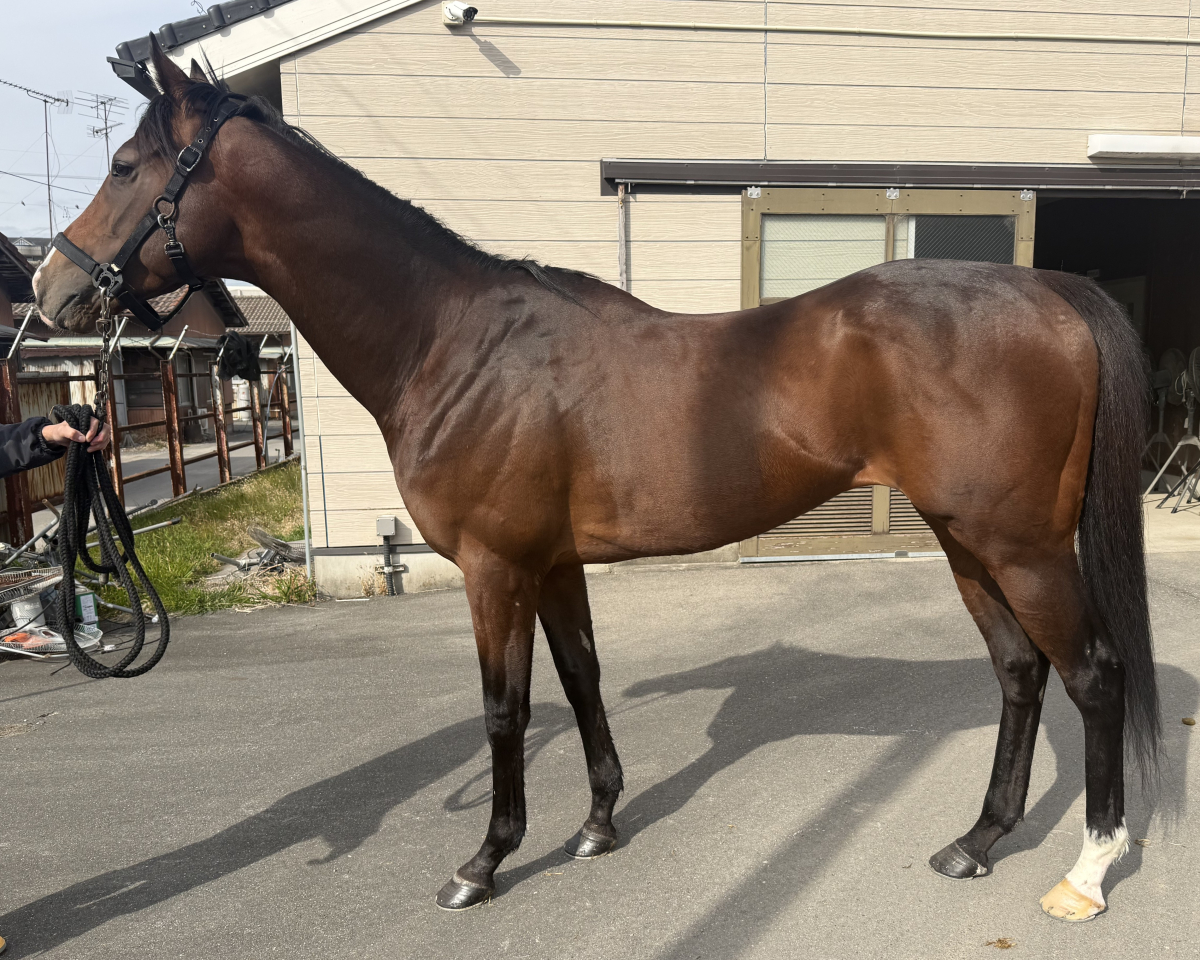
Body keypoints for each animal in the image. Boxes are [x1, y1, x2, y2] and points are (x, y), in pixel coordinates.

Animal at [34, 43, 1160, 921]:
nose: (51, 291)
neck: (450, 340)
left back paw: (1089, 870)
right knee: (1019, 673)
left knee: (1093, 675)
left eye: (127, 165)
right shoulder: (553, 563)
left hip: (1021, 546)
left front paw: (485, 861)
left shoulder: (495, 567)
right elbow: (580, 681)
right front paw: (599, 824)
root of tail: (1051, 294)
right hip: (966, 539)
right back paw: (978, 840)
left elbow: (505, 709)